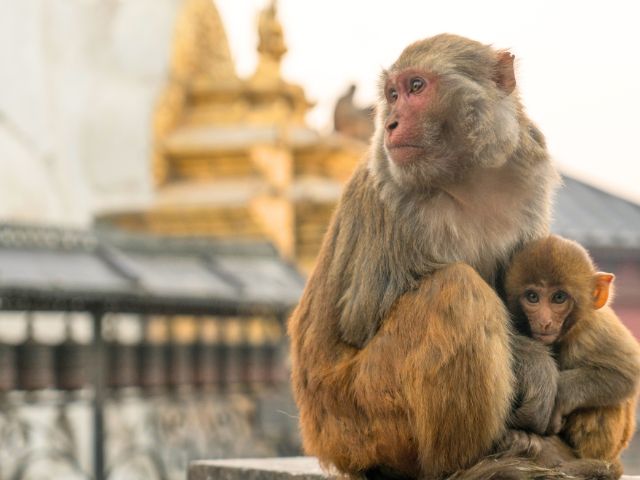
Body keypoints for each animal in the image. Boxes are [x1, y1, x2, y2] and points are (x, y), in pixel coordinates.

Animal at [287, 33, 615, 480]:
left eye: (416, 87)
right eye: (393, 95)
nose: (390, 123)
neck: (466, 177)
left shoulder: (529, 175)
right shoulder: (395, 196)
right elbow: (362, 319)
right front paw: (536, 362)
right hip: (359, 417)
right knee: (456, 290)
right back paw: (470, 464)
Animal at [504, 234, 640, 477]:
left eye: (559, 298)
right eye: (532, 297)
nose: (544, 321)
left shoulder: (593, 329)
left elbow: (627, 373)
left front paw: (559, 398)